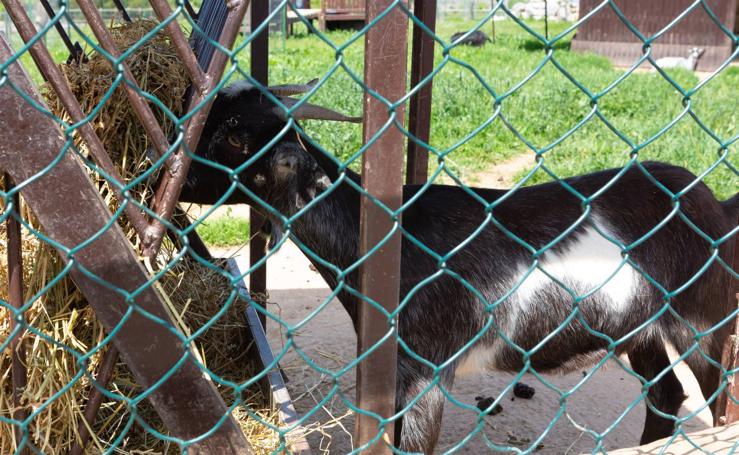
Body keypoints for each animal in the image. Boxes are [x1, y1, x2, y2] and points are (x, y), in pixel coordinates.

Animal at [185, 81, 739, 452]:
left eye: (233, 138)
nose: (176, 164)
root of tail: (716, 204)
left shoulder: (427, 371)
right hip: (639, 329)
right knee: (665, 394)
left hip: (704, 321)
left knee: (717, 403)